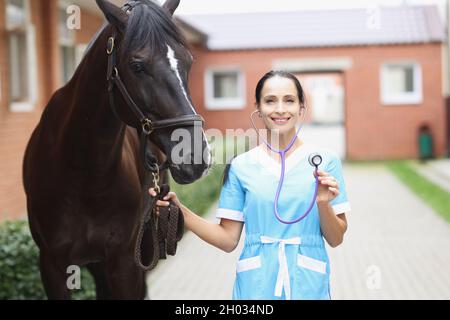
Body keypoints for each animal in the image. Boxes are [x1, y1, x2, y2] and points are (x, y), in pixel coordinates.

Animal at [21, 0, 211, 300]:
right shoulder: (52, 264)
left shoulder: (124, 262)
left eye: (188, 62)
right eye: (137, 65)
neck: (81, 170)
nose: (195, 157)